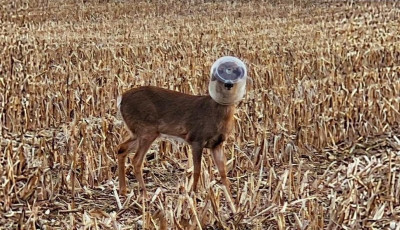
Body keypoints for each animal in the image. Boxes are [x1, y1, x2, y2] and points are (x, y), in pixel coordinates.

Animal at [115, 55, 247, 199]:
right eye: (220, 71)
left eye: (236, 71)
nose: (228, 84)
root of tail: (121, 99)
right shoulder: (196, 139)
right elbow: (197, 170)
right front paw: (194, 194)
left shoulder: (217, 144)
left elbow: (223, 172)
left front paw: (231, 196)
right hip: (146, 130)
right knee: (136, 160)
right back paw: (145, 195)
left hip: (138, 132)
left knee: (121, 149)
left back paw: (123, 190)